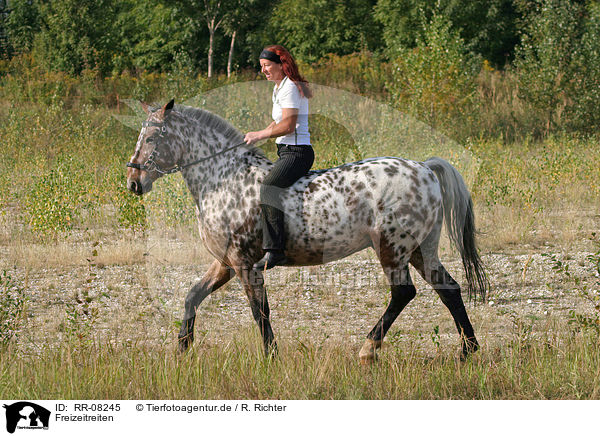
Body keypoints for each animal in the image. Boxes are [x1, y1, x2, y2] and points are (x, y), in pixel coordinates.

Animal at [125, 99, 488, 362]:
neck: (224, 180)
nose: (133, 183)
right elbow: (192, 297)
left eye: (153, 138)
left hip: (392, 248)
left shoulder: (244, 264)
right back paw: (467, 350)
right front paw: (182, 351)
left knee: (403, 293)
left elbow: (260, 312)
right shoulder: (225, 262)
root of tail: (424, 169)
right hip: (420, 250)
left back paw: (368, 349)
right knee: (449, 288)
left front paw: (270, 358)